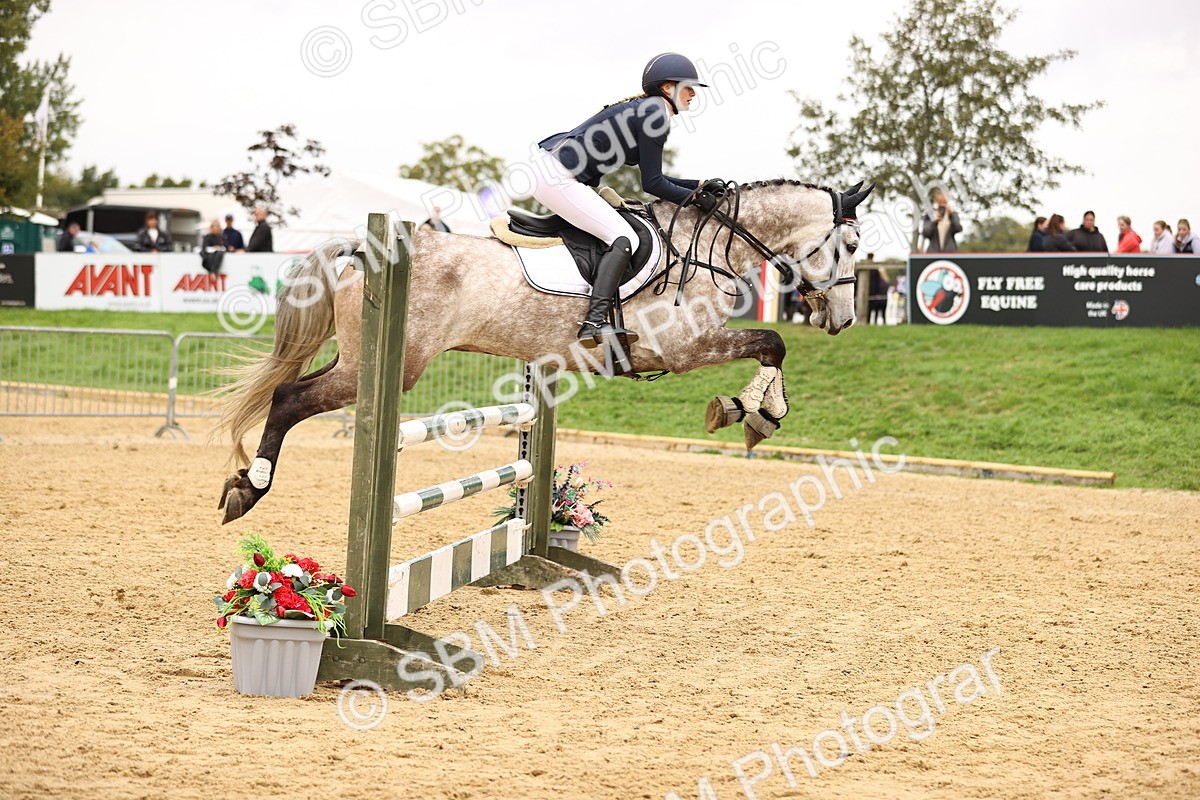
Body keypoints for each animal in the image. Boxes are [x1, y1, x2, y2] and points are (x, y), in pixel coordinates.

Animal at [216, 179, 874, 523]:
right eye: (849, 244)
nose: (843, 319)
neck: (704, 245)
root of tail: (366, 249)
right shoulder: (688, 348)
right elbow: (773, 343)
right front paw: (752, 414)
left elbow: (771, 349)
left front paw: (755, 413)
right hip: (386, 370)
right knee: (288, 396)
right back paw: (248, 490)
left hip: (360, 360)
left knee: (292, 392)